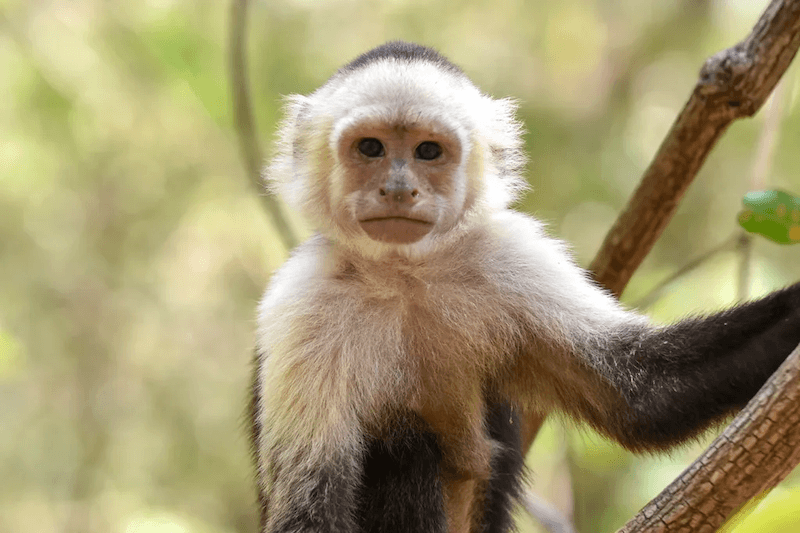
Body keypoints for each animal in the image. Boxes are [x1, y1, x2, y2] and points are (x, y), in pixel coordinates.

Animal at [250, 41, 800, 533]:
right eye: (371, 148)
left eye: (428, 151)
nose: (399, 190)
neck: (405, 274)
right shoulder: (302, 300)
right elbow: (310, 506)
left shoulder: (509, 257)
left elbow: (644, 394)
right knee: (405, 445)